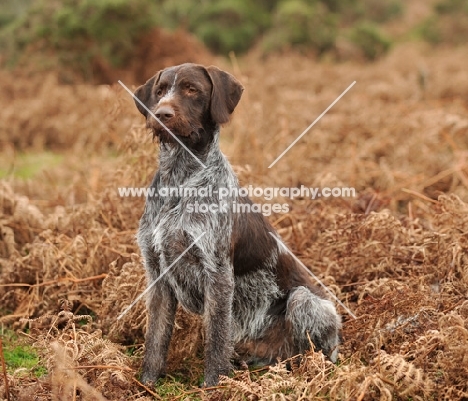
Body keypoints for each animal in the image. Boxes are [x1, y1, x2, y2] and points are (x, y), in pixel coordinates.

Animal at [132, 64, 340, 386]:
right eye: (160, 90)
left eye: (192, 89)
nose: (161, 113)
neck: (179, 179)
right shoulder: (158, 274)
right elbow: (155, 338)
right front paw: (147, 383)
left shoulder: (217, 275)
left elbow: (216, 339)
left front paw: (214, 385)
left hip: (305, 300)